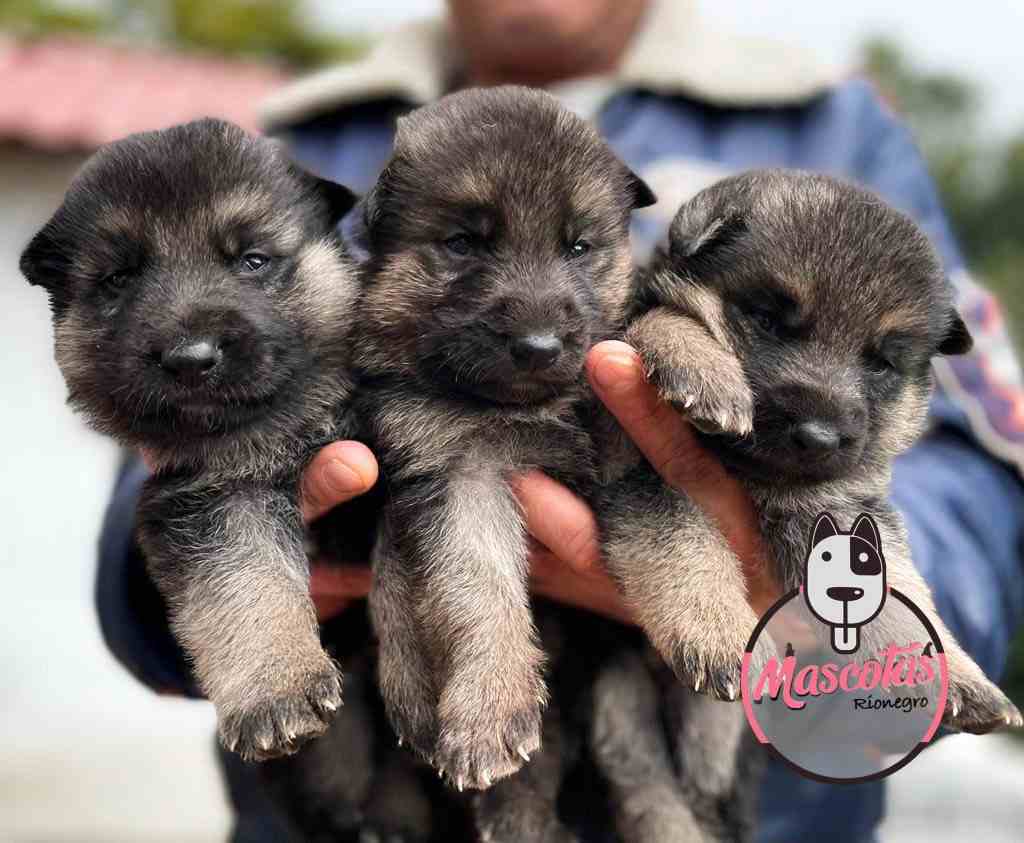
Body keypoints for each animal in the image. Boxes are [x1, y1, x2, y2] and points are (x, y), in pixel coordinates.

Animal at [17, 120, 364, 766]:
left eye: (253, 260)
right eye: (119, 279)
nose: (191, 359)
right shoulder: (217, 494)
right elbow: (244, 579)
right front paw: (276, 690)